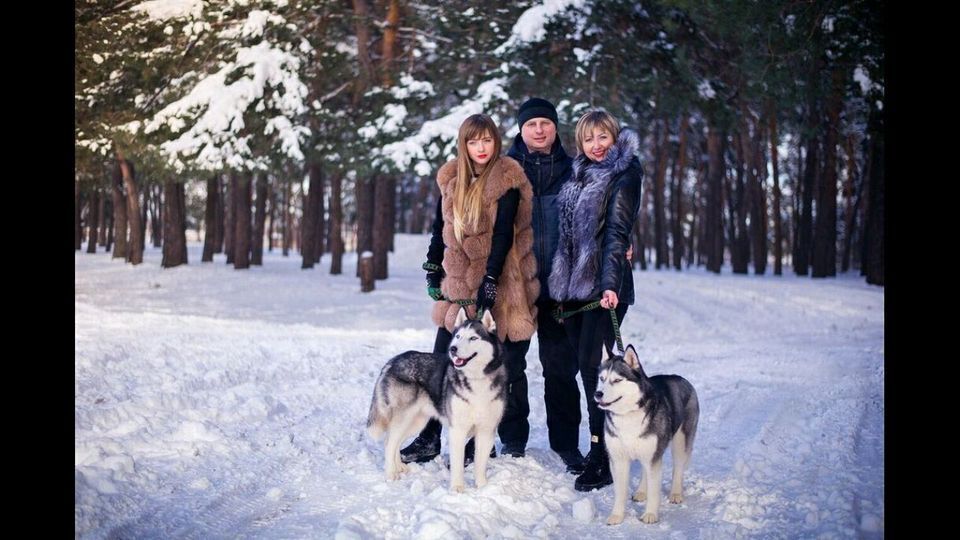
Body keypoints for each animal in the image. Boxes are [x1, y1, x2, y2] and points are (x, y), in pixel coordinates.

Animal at [364, 306, 506, 492]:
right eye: (458, 336)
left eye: (473, 338)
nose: (453, 349)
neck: (476, 380)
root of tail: (392, 361)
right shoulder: (457, 430)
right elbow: (457, 464)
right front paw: (457, 488)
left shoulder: (486, 431)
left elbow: (480, 464)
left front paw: (482, 487)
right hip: (404, 418)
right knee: (389, 443)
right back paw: (390, 474)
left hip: (416, 421)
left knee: (394, 441)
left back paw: (399, 466)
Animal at [596, 344, 700, 524]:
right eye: (602, 379)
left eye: (617, 380)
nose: (598, 394)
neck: (627, 416)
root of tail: (681, 378)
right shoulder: (618, 459)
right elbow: (620, 492)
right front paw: (617, 516)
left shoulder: (654, 457)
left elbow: (654, 491)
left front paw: (650, 514)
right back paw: (641, 491)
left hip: (680, 442)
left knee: (678, 468)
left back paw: (675, 493)